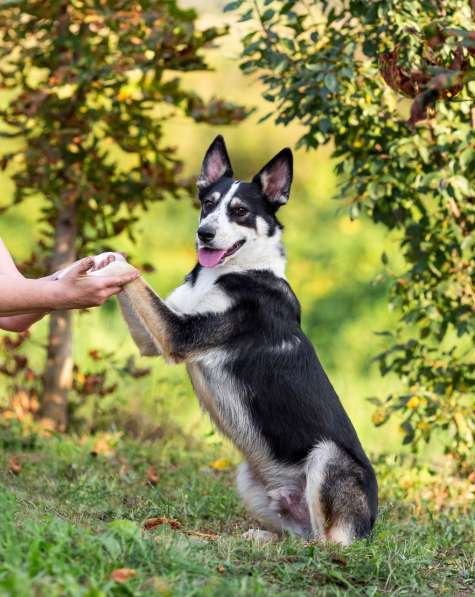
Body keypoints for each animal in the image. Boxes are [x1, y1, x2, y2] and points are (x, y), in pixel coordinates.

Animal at [86, 136, 380, 544]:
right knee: (299, 536)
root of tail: (370, 527)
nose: (204, 233)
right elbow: (130, 278)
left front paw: (106, 266)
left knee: (324, 543)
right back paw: (263, 539)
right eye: (208, 204)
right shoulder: (156, 337)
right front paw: (102, 259)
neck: (235, 271)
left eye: (240, 211)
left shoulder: (178, 334)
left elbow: (131, 274)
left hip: (327, 458)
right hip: (249, 480)